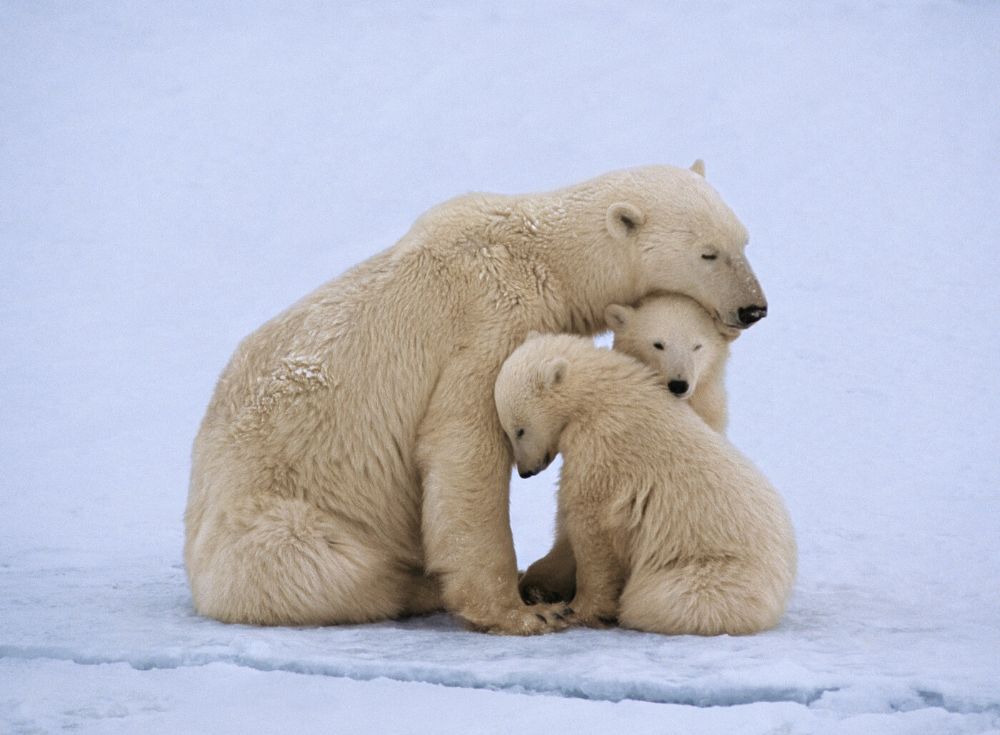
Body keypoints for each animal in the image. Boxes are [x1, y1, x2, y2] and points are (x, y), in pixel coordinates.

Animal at [495, 332, 795, 635]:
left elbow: (590, 522)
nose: (526, 471)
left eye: (519, 429)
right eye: (507, 430)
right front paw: (539, 585)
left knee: (657, 599)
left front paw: (578, 609)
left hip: (714, 572)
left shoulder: (604, 444)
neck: (600, 394)